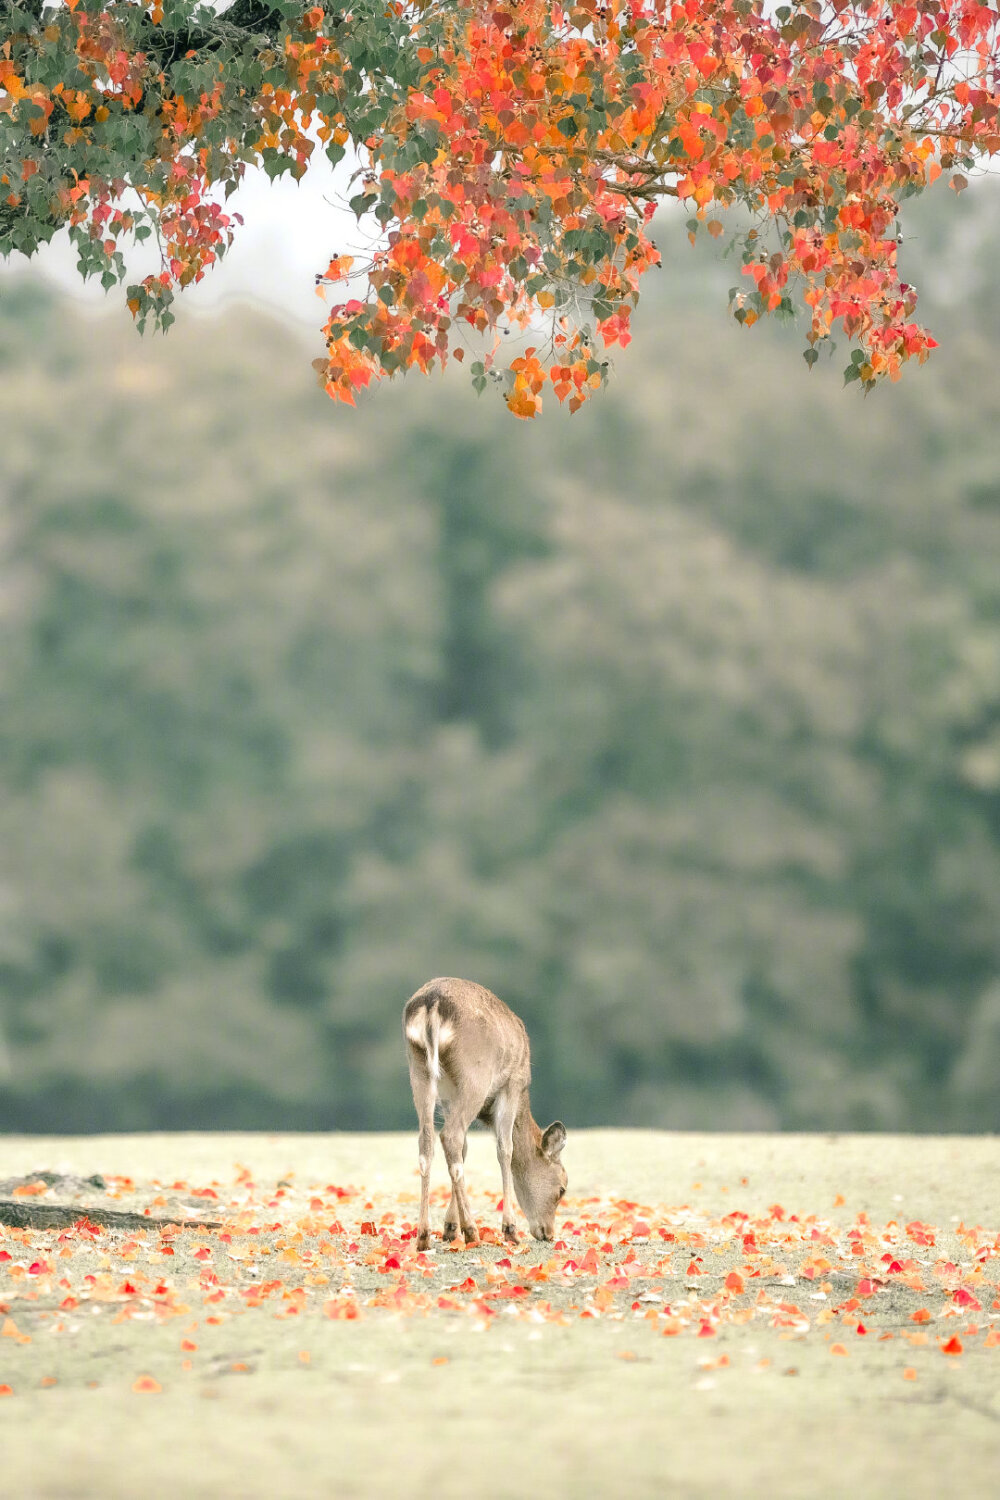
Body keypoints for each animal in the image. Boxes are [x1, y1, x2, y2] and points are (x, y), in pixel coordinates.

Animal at [401, 972, 566, 1254]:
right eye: (562, 1189)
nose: (548, 1233)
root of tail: (432, 1004)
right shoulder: (512, 1084)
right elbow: (505, 1148)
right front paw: (510, 1230)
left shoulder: (448, 1096)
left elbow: (465, 1150)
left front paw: (449, 1228)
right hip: (475, 1072)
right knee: (450, 1136)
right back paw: (472, 1232)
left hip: (419, 1069)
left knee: (429, 1140)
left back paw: (423, 1236)